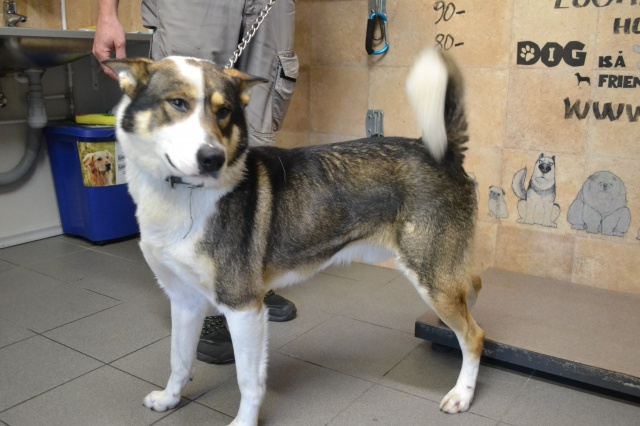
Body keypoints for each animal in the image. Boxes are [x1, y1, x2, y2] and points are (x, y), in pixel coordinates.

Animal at [104, 48, 483, 426]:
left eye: (223, 111)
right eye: (178, 103)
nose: (213, 159)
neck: (182, 195)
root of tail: (444, 152)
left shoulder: (244, 307)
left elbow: (249, 381)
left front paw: (244, 422)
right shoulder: (185, 301)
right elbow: (179, 360)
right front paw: (169, 399)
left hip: (430, 273)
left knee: (475, 335)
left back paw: (461, 394)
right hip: (440, 271)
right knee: (473, 285)